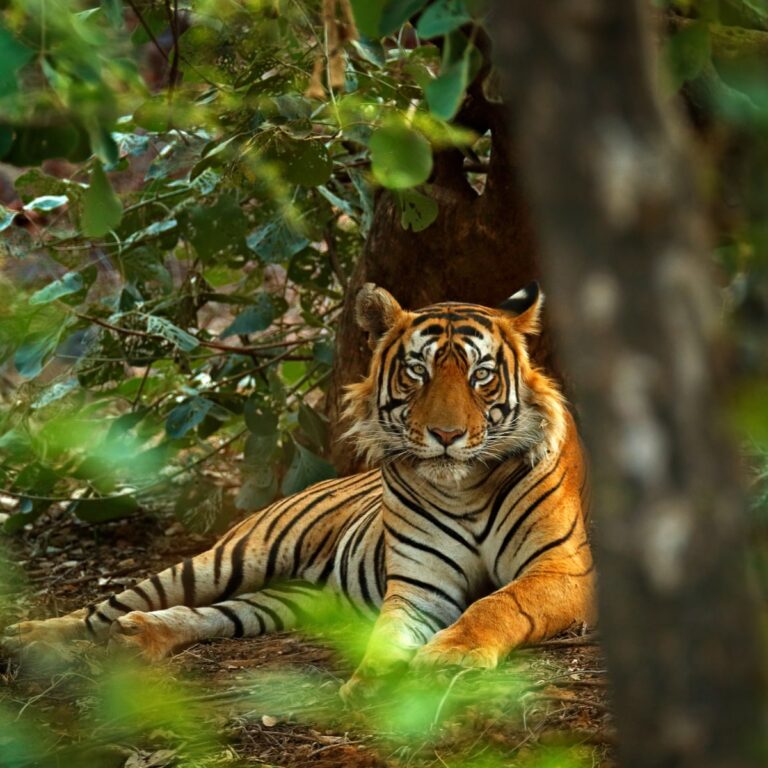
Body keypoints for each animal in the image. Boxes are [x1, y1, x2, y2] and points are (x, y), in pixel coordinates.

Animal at [2, 282, 595, 699]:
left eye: (481, 376)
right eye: (417, 372)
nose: (445, 435)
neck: (464, 488)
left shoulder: (563, 569)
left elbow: (498, 603)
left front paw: (450, 656)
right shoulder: (419, 585)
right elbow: (389, 633)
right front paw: (374, 682)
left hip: (290, 599)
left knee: (215, 614)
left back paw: (139, 636)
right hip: (230, 558)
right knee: (106, 607)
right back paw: (30, 637)